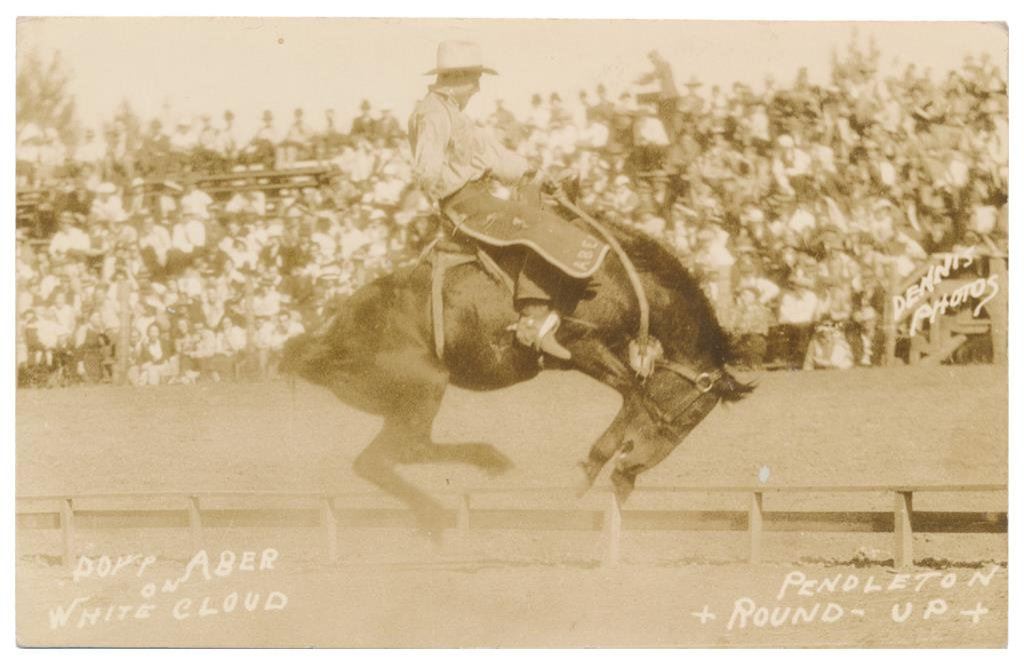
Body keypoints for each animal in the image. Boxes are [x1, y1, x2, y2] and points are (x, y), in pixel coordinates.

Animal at [280, 206, 754, 537]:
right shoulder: (580, 344)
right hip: (425, 385)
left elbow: (635, 395)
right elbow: (639, 396)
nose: (632, 471)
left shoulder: (608, 349)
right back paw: (468, 480)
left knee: (384, 458)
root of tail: (324, 341)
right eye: (693, 415)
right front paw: (605, 468)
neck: (619, 274)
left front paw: (600, 465)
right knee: (396, 453)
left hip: (404, 402)